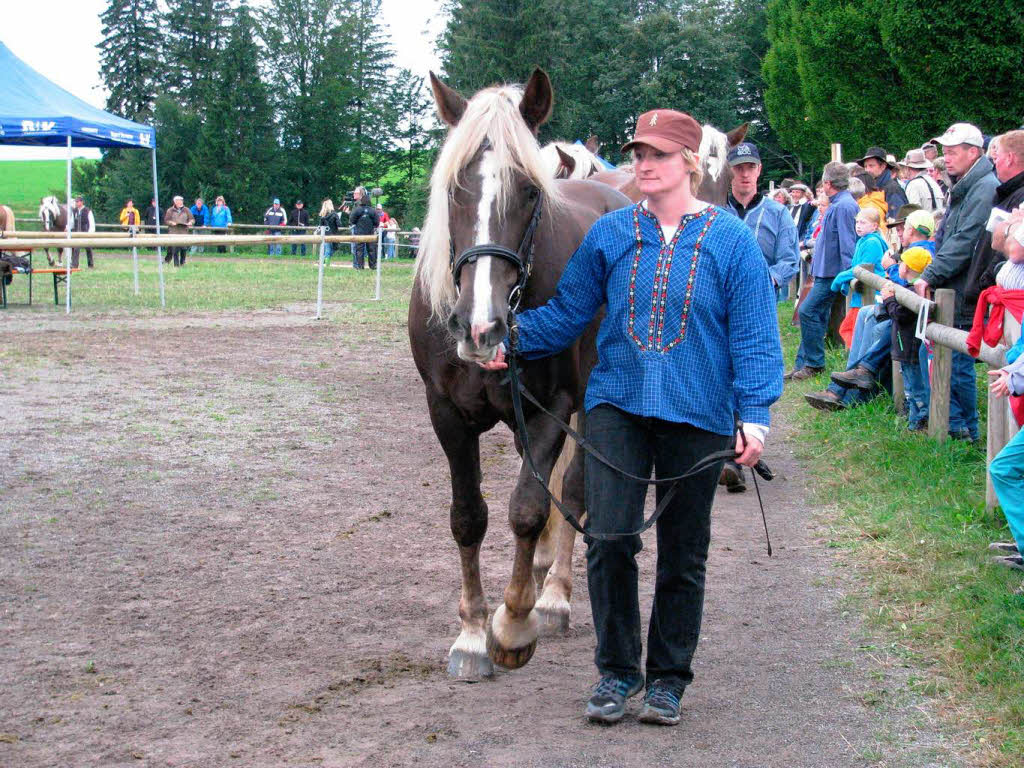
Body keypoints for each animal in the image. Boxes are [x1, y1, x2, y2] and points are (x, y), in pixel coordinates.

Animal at [407, 70, 630, 679]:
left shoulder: (552, 409)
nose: (480, 326)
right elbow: (469, 517)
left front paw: (513, 625)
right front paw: (470, 635)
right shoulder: (446, 414)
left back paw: (552, 597)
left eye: (529, 191)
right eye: (453, 188)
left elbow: (530, 509)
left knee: (573, 490)